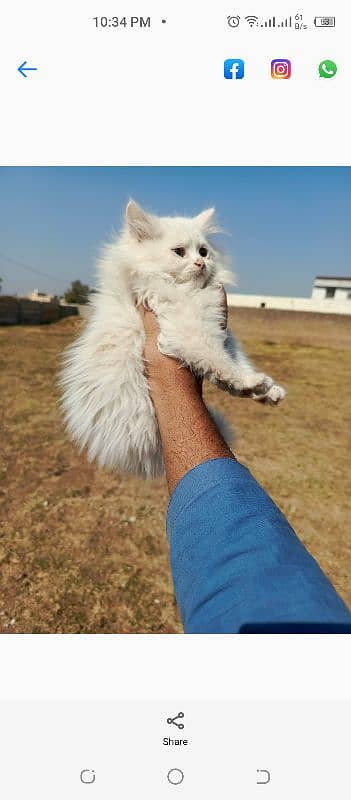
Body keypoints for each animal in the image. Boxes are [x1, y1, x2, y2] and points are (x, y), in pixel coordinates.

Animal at [58, 203, 286, 478]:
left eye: (204, 251)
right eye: (179, 252)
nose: (200, 263)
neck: (187, 290)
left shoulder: (221, 332)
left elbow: (236, 361)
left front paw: (268, 390)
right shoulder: (188, 331)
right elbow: (223, 364)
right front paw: (254, 382)